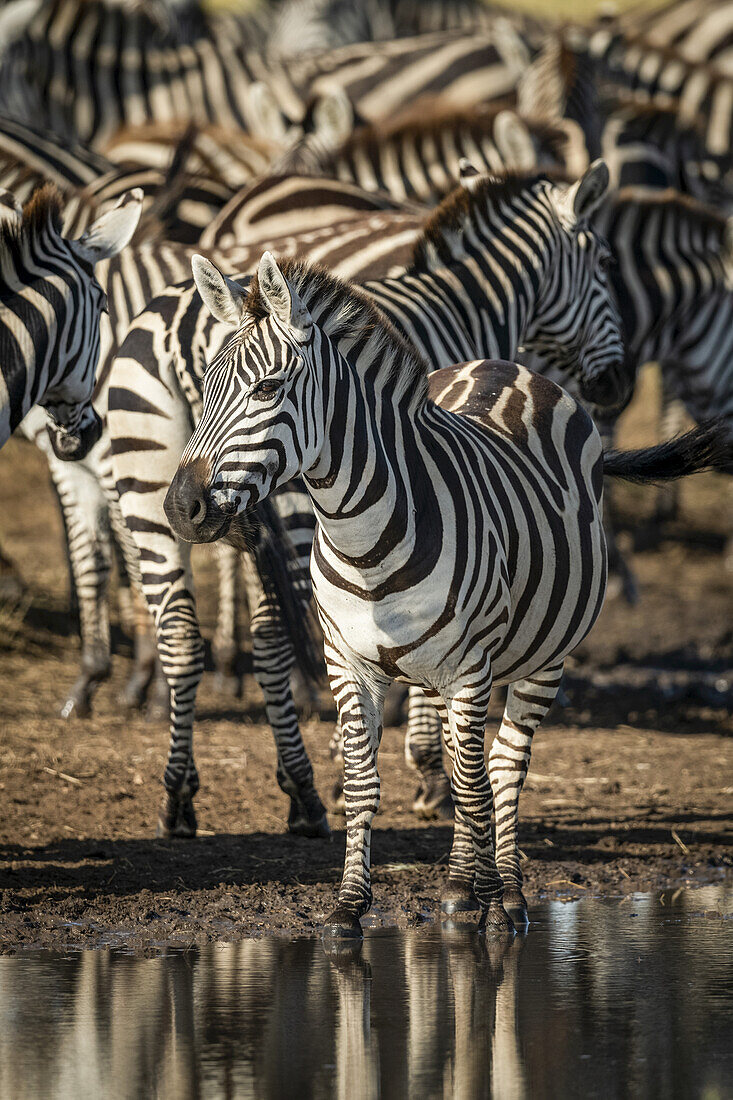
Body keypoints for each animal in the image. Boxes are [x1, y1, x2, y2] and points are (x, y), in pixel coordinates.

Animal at [107, 160, 629, 831]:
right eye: (606, 263)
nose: (614, 385)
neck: (469, 303)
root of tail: (180, 324)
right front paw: (422, 768)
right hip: (289, 509)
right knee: (273, 636)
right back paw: (303, 791)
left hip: (144, 484)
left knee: (180, 634)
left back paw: (178, 794)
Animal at [165, 249, 730, 937]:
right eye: (204, 384)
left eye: (267, 389)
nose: (181, 507)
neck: (362, 538)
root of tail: (508, 365)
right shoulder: (346, 661)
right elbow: (363, 783)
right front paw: (349, 905)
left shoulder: (470, 668)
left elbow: (473, 784)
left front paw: (473, 896)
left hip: (542, 658)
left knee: (504, 768)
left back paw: (503, 893)